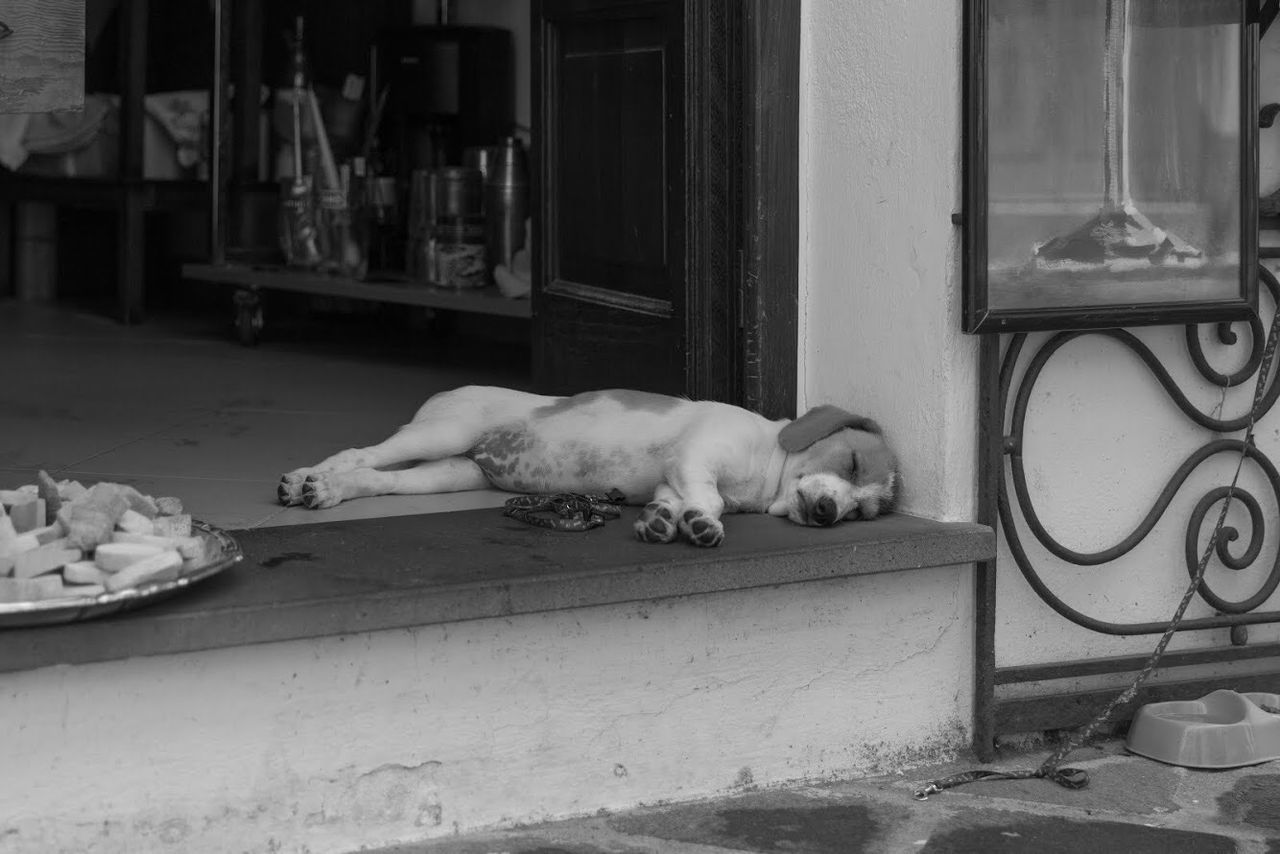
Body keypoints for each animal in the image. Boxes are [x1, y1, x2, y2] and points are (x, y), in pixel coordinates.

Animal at [280, 386, 901, 547]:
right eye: (850, 462)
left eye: (861, 513)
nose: (827, 512)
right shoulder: (694, 457)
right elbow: (709, 496)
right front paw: (703, 522)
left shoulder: (673, 479)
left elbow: (678, 502)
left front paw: (667, 523)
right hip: (441, 432)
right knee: (358, 455)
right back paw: (309, 480)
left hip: (451, 474)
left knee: (377, 479)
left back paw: (328, 492)